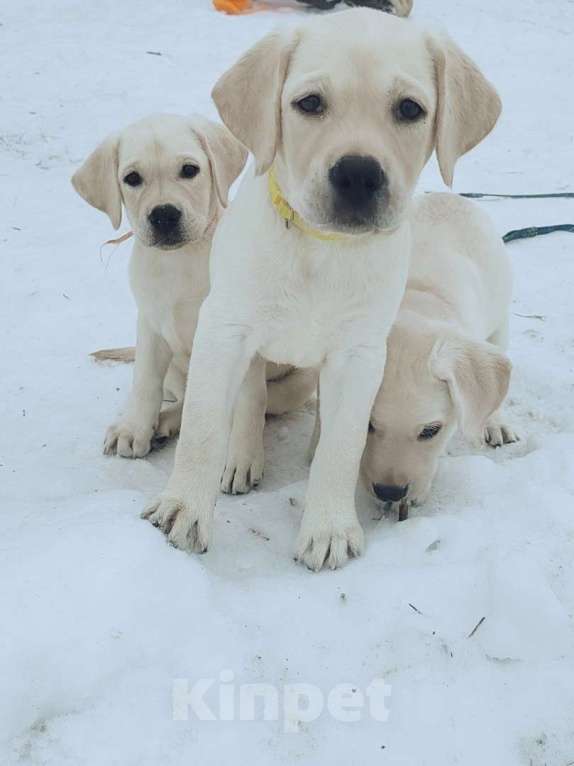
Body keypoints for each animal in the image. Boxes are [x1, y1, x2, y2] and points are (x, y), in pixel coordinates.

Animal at [71, 117, 320, 496]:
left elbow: (249, 400)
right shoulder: (151, 325)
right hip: (176, 369)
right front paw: (134, 428)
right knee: (189, 399)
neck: (181, 259)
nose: (163, 215)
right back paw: (162, 423)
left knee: (249, 404)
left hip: (298, 382)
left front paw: (241, 458)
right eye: (132, 178)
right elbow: (145, 381)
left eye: (190, 170)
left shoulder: (240, 334)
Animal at [312, 192, 520, 516]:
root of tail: (449, 195)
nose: (390, 492)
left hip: (500, 320)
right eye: (367, 424)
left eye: (431, 431)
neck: (414, 299)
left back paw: (494, 423)